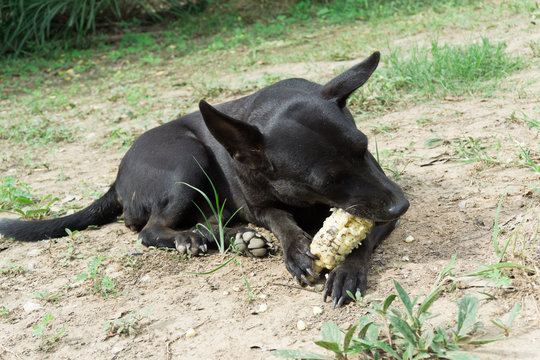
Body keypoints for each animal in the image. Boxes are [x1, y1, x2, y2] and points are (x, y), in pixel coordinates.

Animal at [0, 52, 408, 306]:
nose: (402, 205)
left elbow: (362, 237)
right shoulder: (260, 207)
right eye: (327, 179)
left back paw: (233, 239)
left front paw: (347, 272)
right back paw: (196, 239)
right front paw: (296, 249)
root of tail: (117, 179)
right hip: (187, 161)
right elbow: (280, 218)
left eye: (363, 148)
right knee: (148, 230)